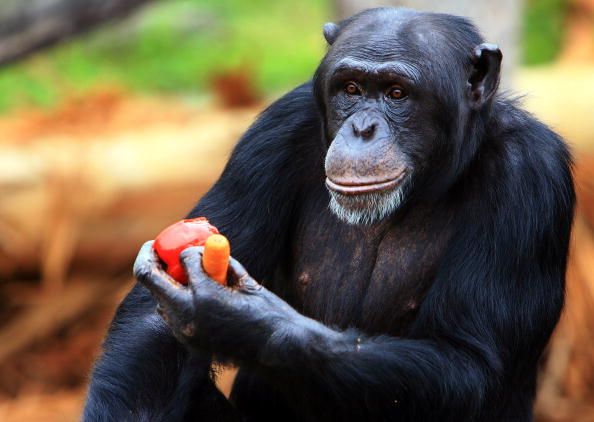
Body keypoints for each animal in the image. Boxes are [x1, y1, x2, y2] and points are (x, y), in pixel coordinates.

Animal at [83, 7, 572, 422]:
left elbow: (469, 361)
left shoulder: (530, 176)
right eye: (351, 89)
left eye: (397, 93)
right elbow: (152, 326)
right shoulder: (274, 132)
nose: (362, 128)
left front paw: (236, 320)